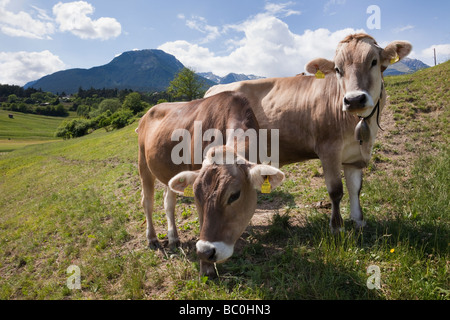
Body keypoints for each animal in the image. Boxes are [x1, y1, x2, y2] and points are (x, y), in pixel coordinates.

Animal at [137, 90, 284, 276]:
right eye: (196, 196)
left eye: (234, 195)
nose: (205, 251)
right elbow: (201, 221)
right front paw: (206, 268)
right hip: (143, 163)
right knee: (147, 202)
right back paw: (152, 238)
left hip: (168, 171)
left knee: (168, 201)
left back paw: (173, 238)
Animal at [206, 33, 414, 232]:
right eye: (337, 69)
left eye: (373, 61)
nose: (354, 100)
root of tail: (214, 89)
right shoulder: (329, 150)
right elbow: (336, 191)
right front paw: (337, 227)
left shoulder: (355, 157)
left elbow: (355, 189)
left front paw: (359, 221)